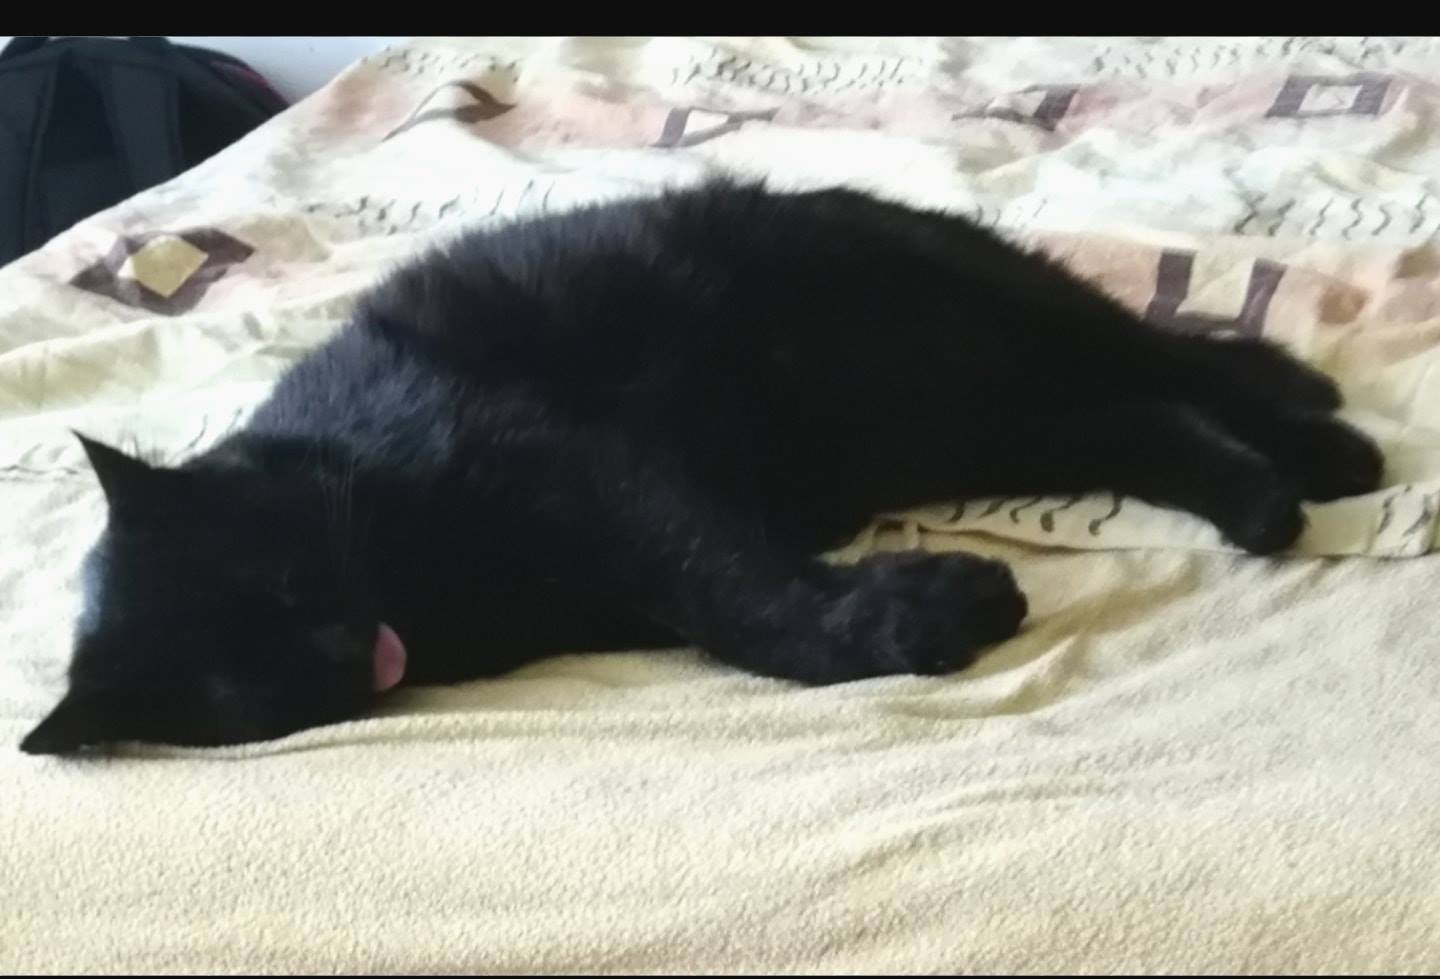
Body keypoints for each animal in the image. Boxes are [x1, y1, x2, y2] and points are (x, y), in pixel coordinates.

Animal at [20, 180, 1383, 755]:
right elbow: (745, 600)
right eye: (242, 679)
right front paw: (923, 603)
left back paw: (1326, 438)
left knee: (1173, 355)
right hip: (969, 414)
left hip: (988, 320)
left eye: (280, 580)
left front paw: (935, 611)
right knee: (1140, 416)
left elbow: (734, 598)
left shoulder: (592, 478)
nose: (342, 645)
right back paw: (1267, 497)